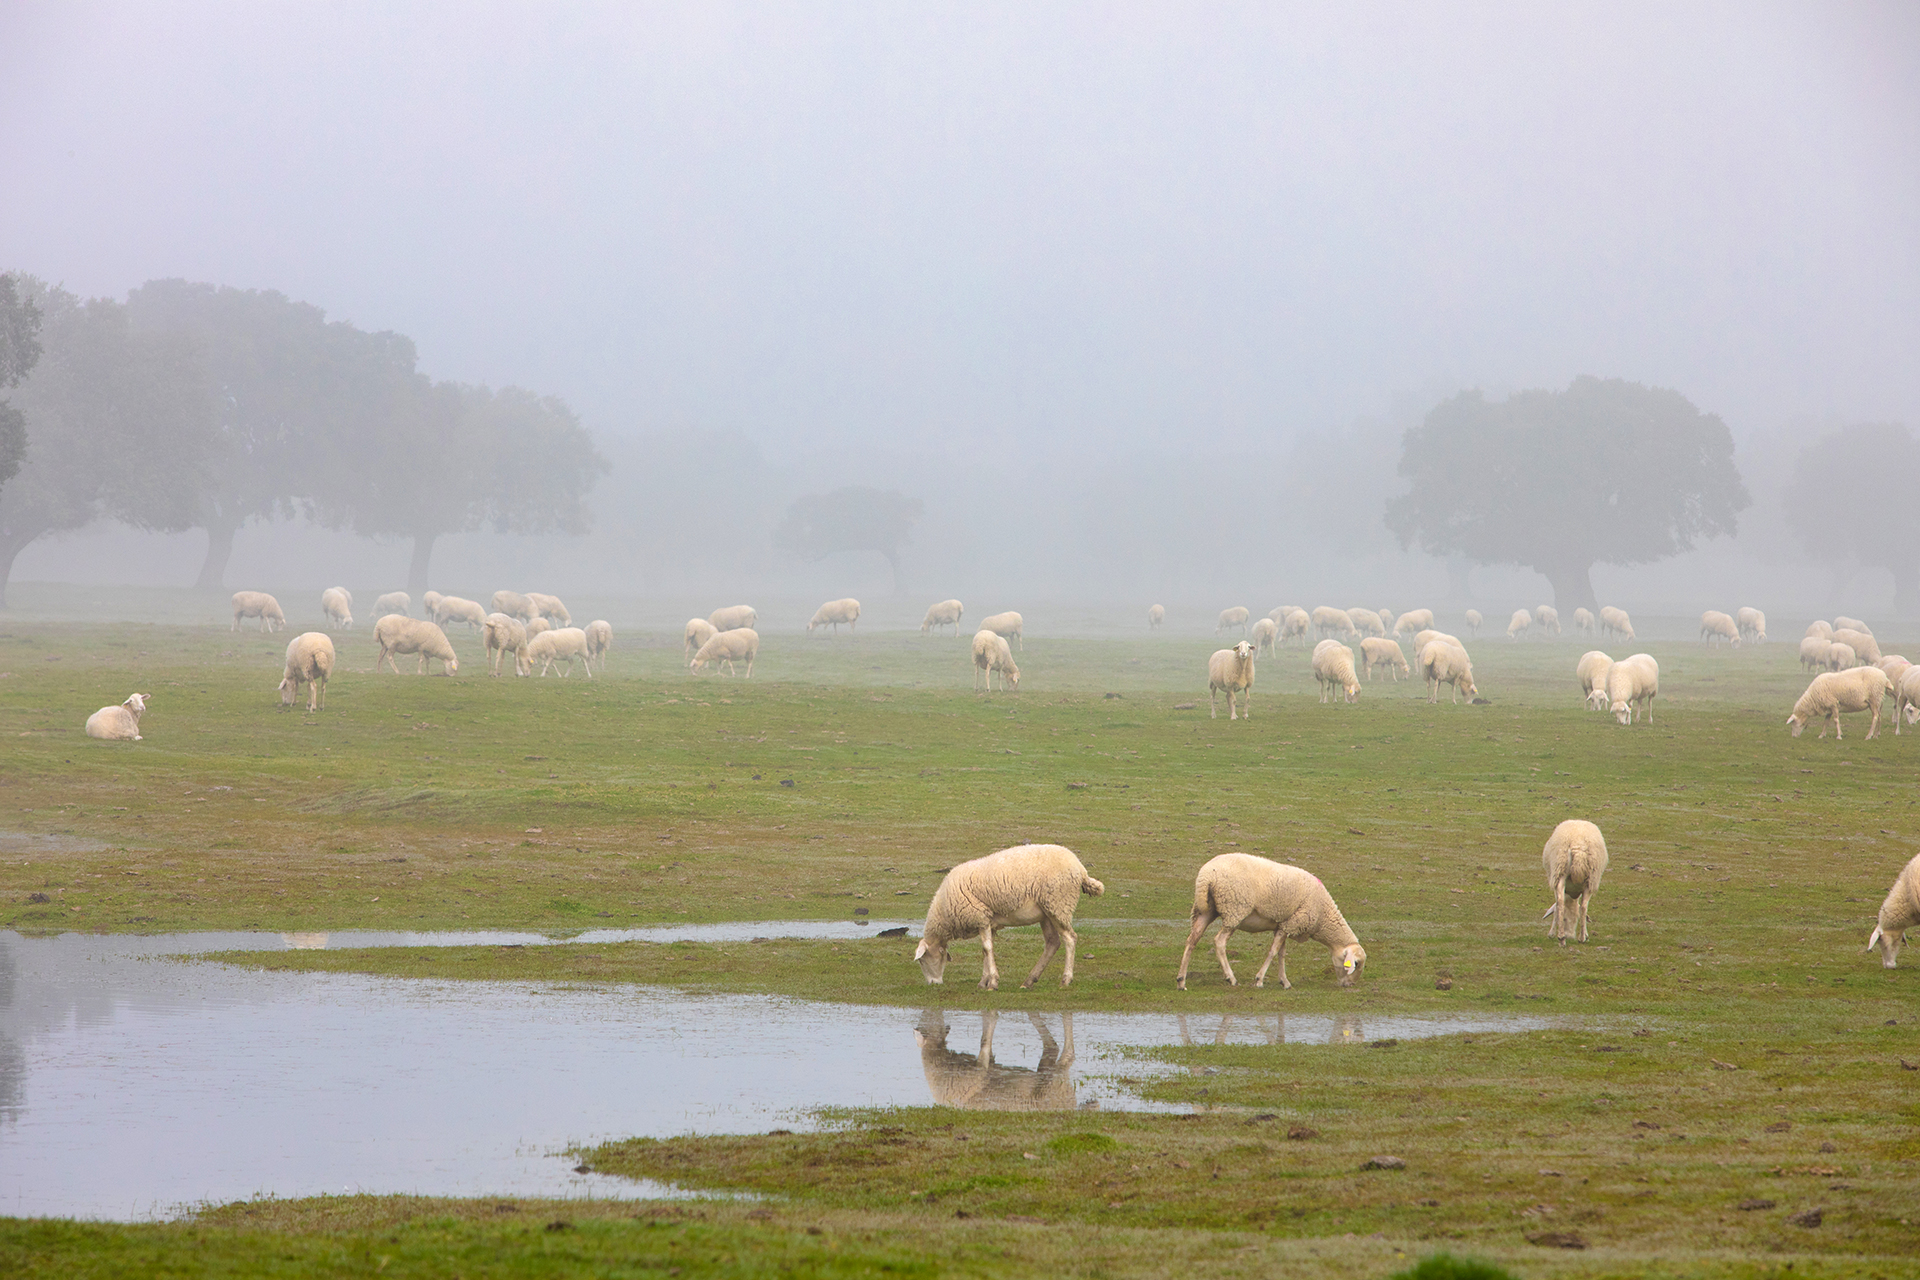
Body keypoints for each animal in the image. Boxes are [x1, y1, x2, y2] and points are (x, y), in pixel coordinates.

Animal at [917, 844, 1113, 997]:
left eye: (922, 960)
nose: (933, 984)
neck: (944, 913)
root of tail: (1081, 869)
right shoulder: (987, 922)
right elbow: (986, 951)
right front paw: (984, 982)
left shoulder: (980, 916)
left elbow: (987, 949)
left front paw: (992, 983)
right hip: (1047, 912)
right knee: (1052, 942)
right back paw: (1029, 981)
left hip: (1058, 905)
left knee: (1070, 939)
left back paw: (1065, 980)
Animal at [1167, 855, 1367, 997]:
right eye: (1355, 963)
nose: (1350, 985)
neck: (1323, 917)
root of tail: (1206, 876)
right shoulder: (1293, 922)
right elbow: (1272, 952)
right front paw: (1259, 980)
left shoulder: (1285, 925)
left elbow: (1281, 954)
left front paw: (1284, 982)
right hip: (1235, 909)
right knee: (1219, 941)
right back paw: (1231, 978)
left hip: (1206, 911)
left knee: (1191, 941)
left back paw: (1181, 982)